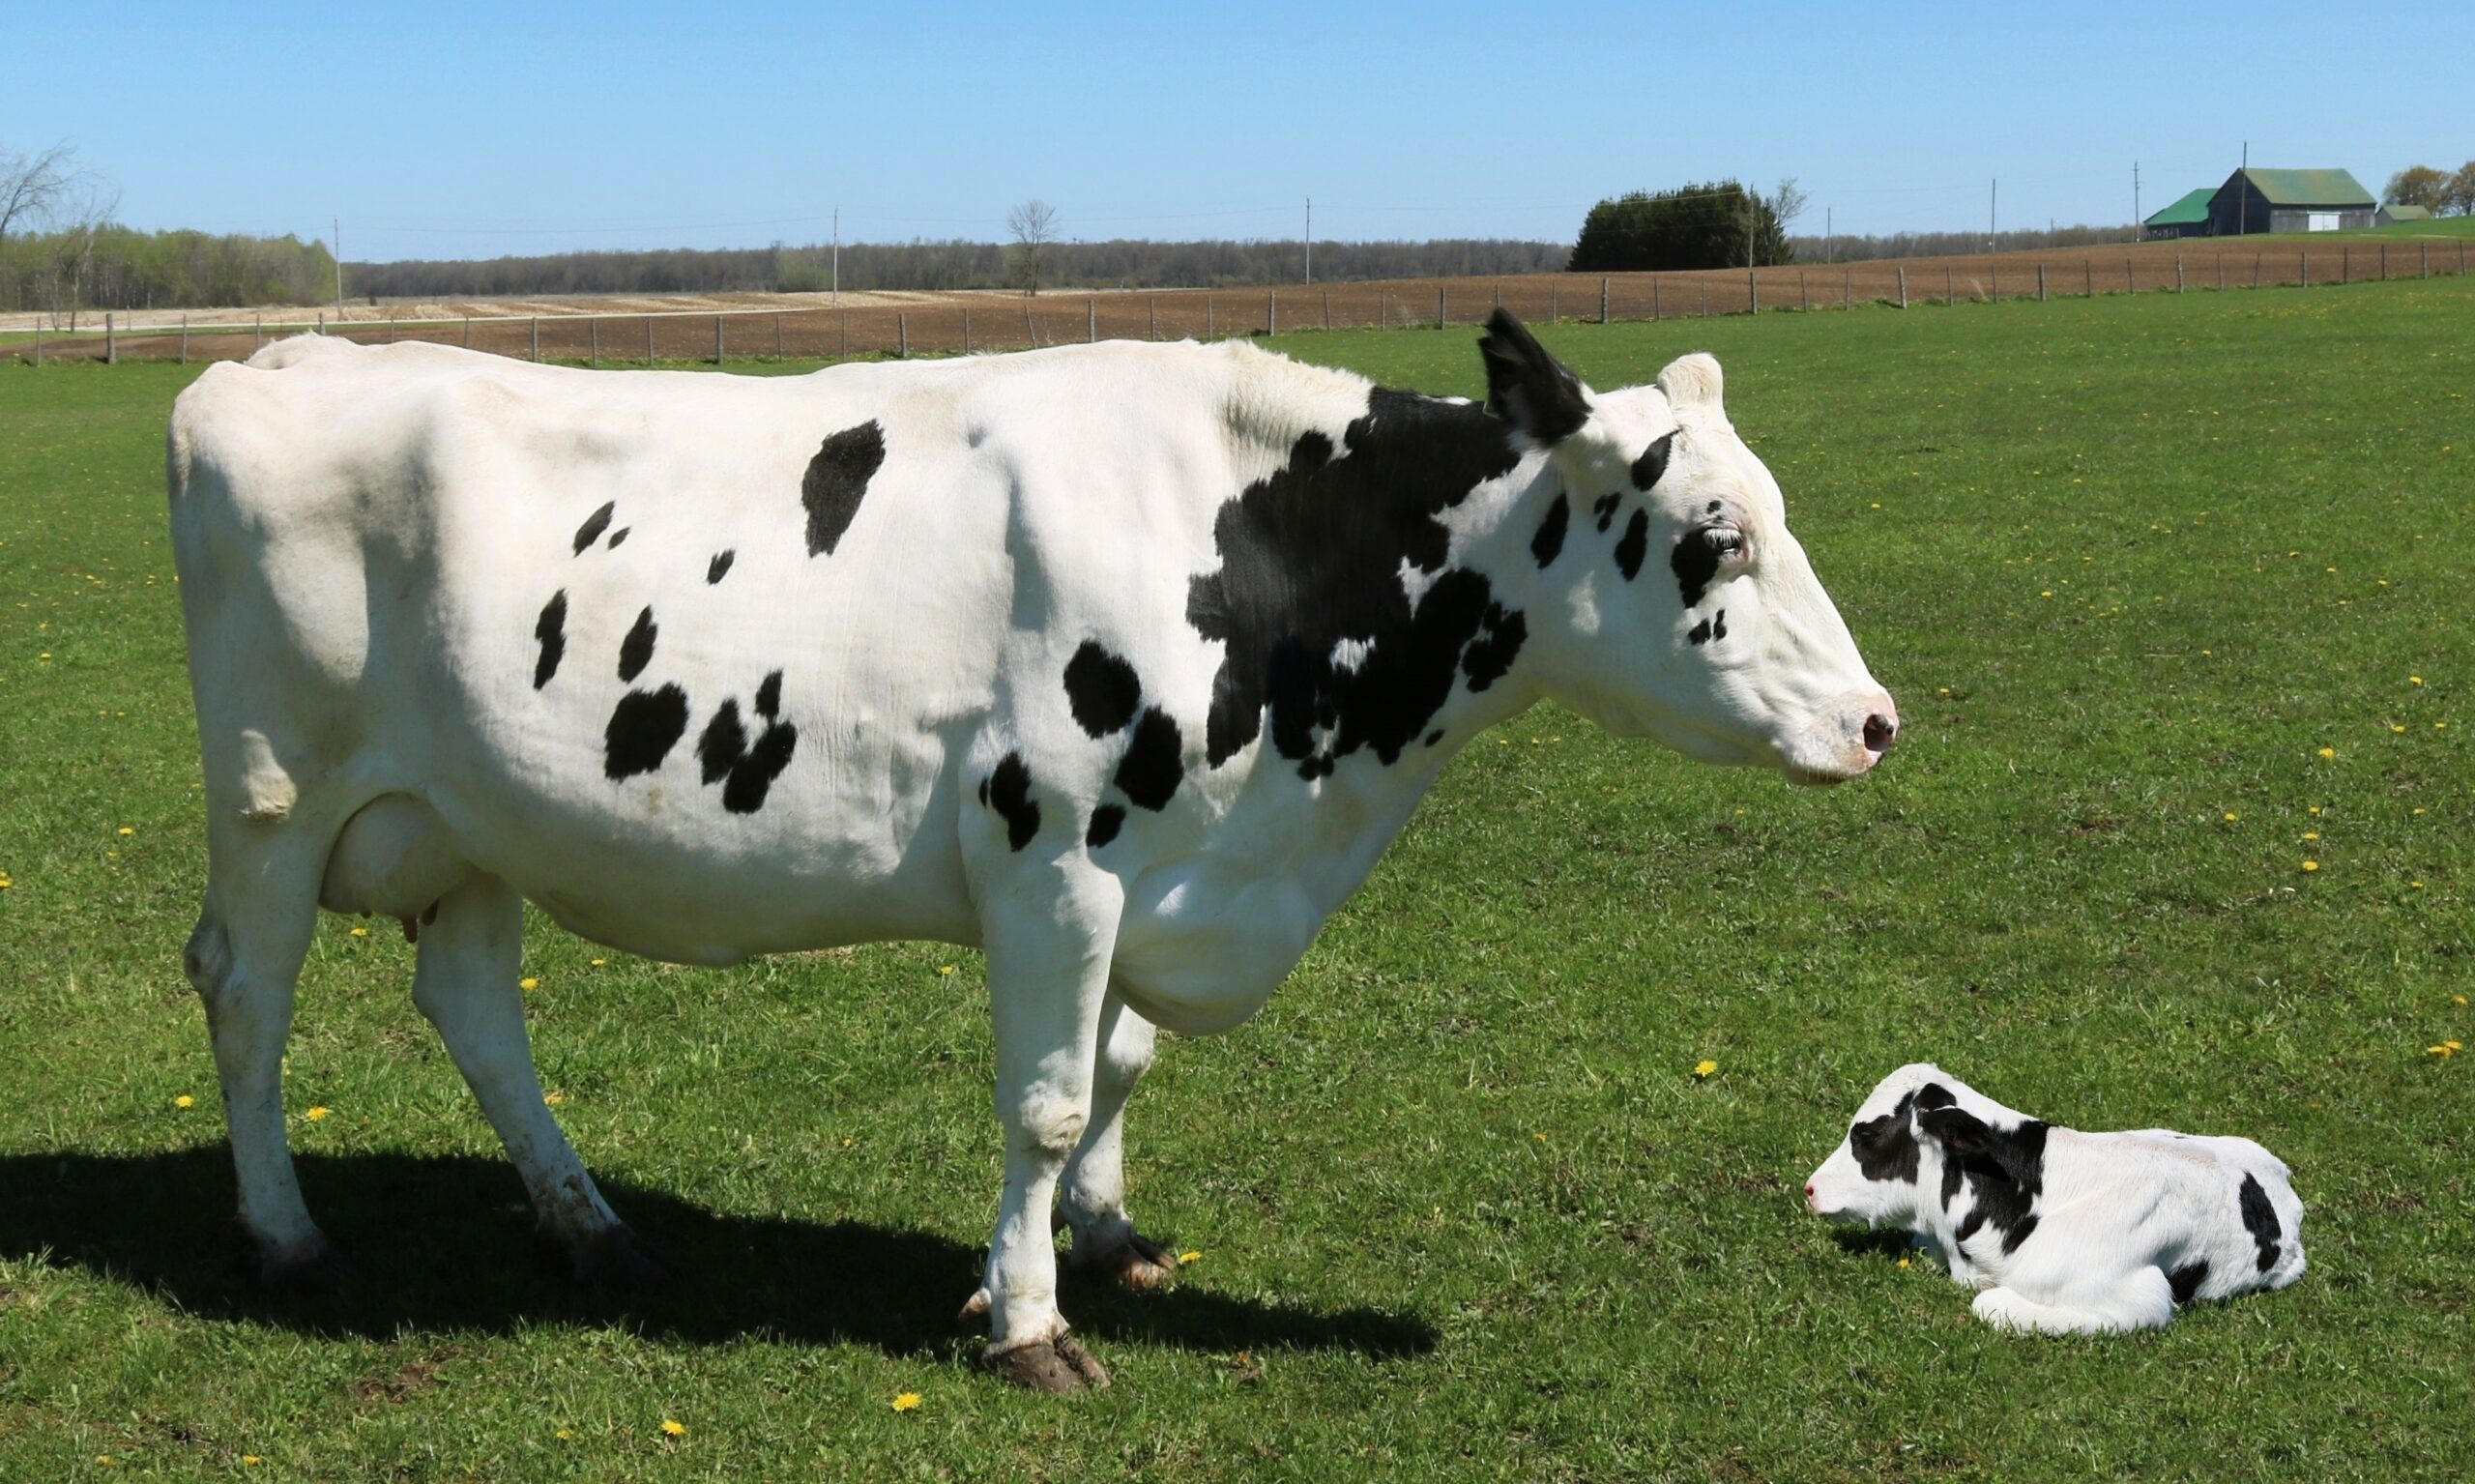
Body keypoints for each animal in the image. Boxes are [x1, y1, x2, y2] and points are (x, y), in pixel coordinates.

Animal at [167, 310, 1896, 1389]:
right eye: (1717, 536)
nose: (1876, 720)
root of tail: (272, 359)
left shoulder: (1156, 869)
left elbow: (1121, 1063)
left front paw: (1101, 1242)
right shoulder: (1053, 856)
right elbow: (1051, 1099)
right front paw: (1027, 1318)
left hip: (471, 816)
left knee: (472, 1005)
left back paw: (592, 1228)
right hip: (272, 793)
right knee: (245, 990)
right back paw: (286, 1236)